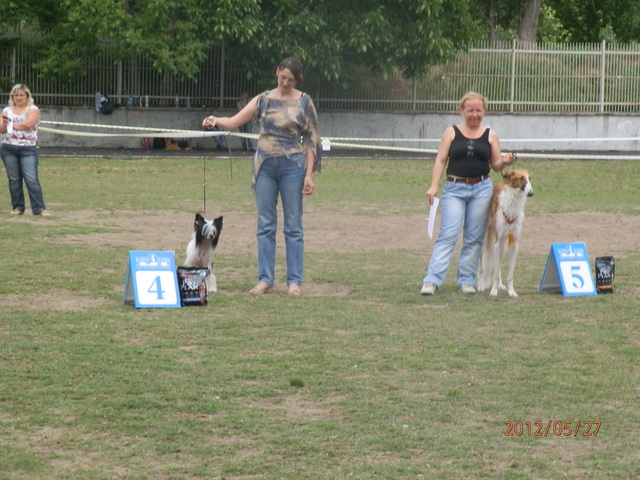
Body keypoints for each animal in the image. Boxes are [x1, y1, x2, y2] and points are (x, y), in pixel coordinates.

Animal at [477, 169, 533, 298]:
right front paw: (493, 291)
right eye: (521, 178)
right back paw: (481, 285)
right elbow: (494, 271)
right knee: (482, 266)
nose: (531, 193)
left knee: (497, 267)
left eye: (529, 178)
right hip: (486, 240)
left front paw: (511, 291)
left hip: (502, 244)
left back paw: (500, 285)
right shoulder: (498, 241)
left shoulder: (514, 243)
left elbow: (509, 274)